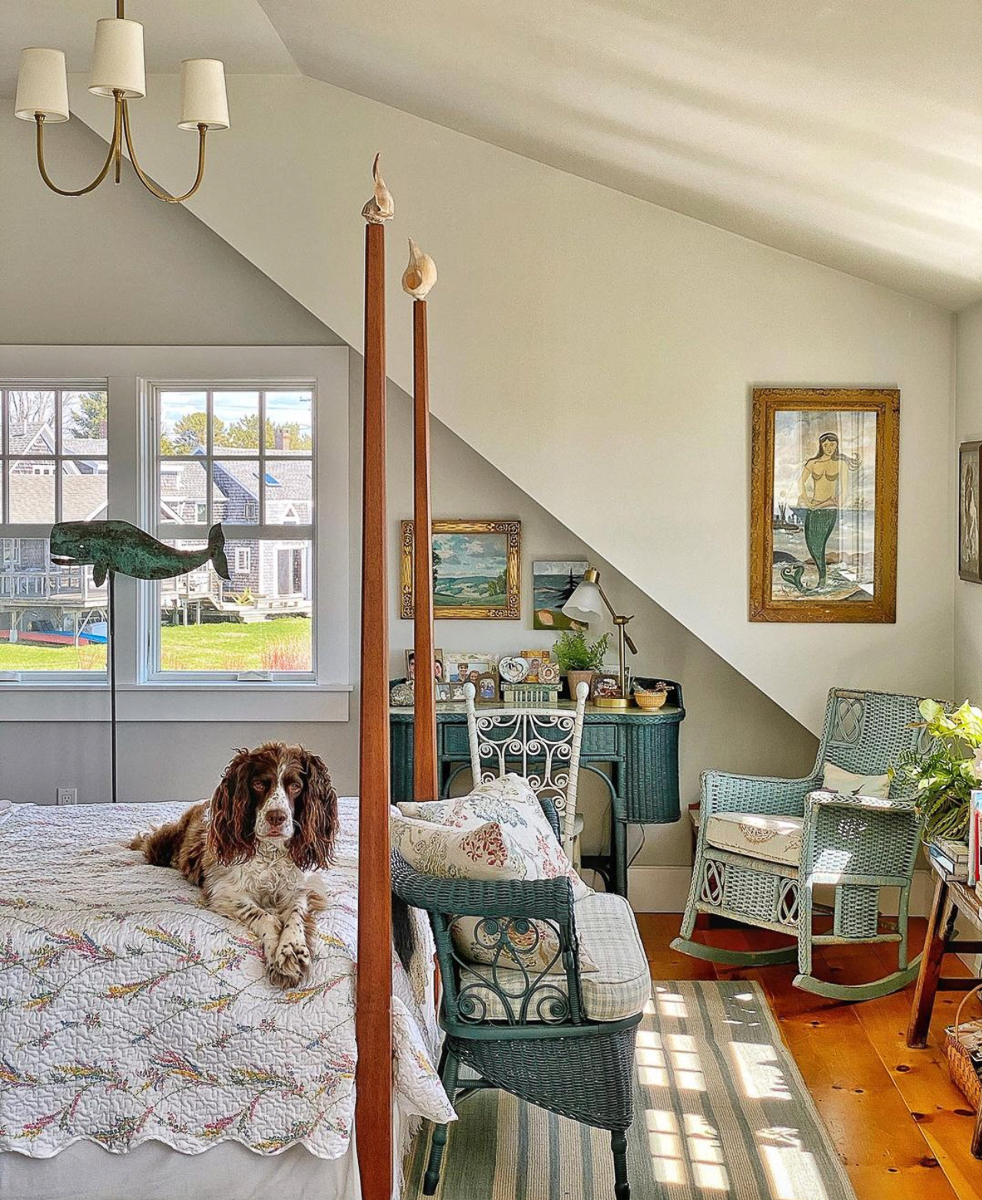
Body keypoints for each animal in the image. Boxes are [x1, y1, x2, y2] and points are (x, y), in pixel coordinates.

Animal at [130, 744, 338, 988]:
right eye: (258, 785)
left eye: (295, 786)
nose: (276, 817)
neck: (271, 852)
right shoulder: (224, 891)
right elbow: (264, 916)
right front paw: (278, 953)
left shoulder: (302, 886)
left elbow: (295, 914)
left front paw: (291, 950)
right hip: (161, 847)